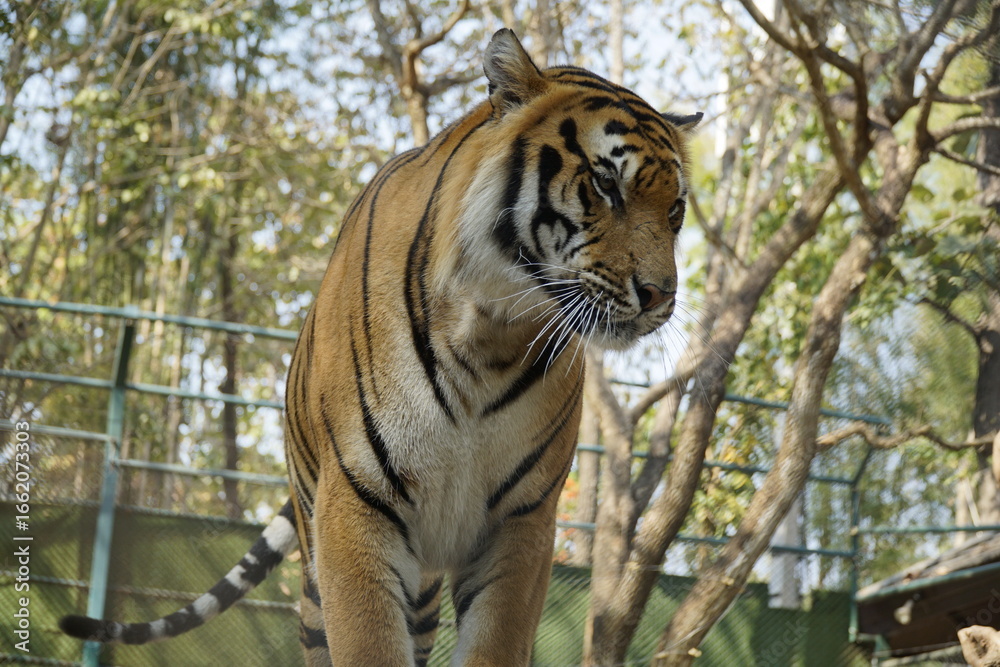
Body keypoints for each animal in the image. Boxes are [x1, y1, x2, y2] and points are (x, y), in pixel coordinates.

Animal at [60, 28, 700, 665]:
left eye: (676, 210)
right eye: (606, 183)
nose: (659, 295)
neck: (491, 336)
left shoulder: (522, 521)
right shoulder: (357, 505)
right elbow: (366, 640)